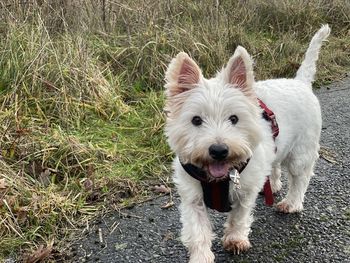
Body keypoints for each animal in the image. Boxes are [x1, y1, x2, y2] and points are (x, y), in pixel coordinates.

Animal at [164, 25, 330, 263]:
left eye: (234, 118)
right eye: (196, 120)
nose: (219, 150)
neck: (219, 178)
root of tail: (300, 82)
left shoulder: (245, 189)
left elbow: (239, 216)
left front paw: (235, 240)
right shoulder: (191, 196)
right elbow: (197, 230)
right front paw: (201, 256)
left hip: (301, 151)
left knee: (300, 178)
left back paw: (291, 203)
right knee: (275, 164)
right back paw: (273, 185)